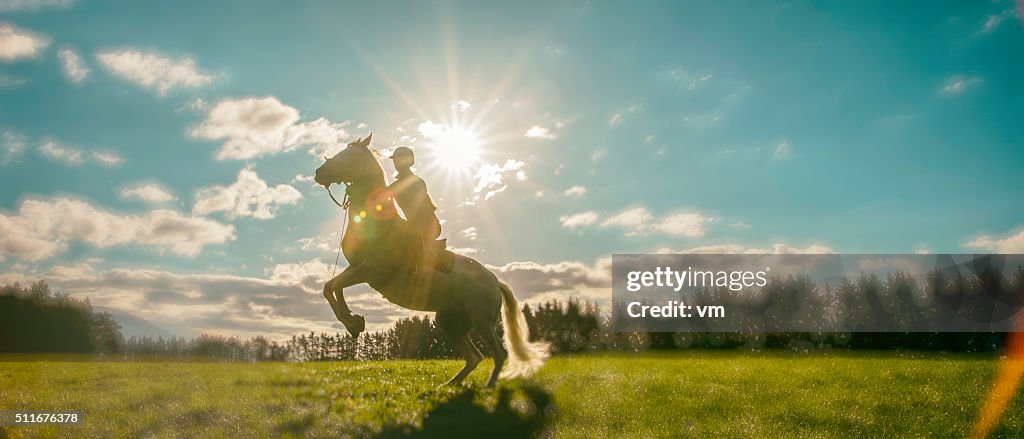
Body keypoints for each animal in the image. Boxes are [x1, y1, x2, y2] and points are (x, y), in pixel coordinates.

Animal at [313, 134, 548, 386]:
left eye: (351, 156)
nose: (319, 172)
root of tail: (494, 280)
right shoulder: (357, 268)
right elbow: (331, 287)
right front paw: (353, 322)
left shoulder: (373, 269)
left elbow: (336, 285)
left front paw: (353, 322)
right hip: (449, 322)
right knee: (474, 356)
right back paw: (450, 384)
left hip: (481, 319)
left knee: (498, 353)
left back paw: (487, 387)